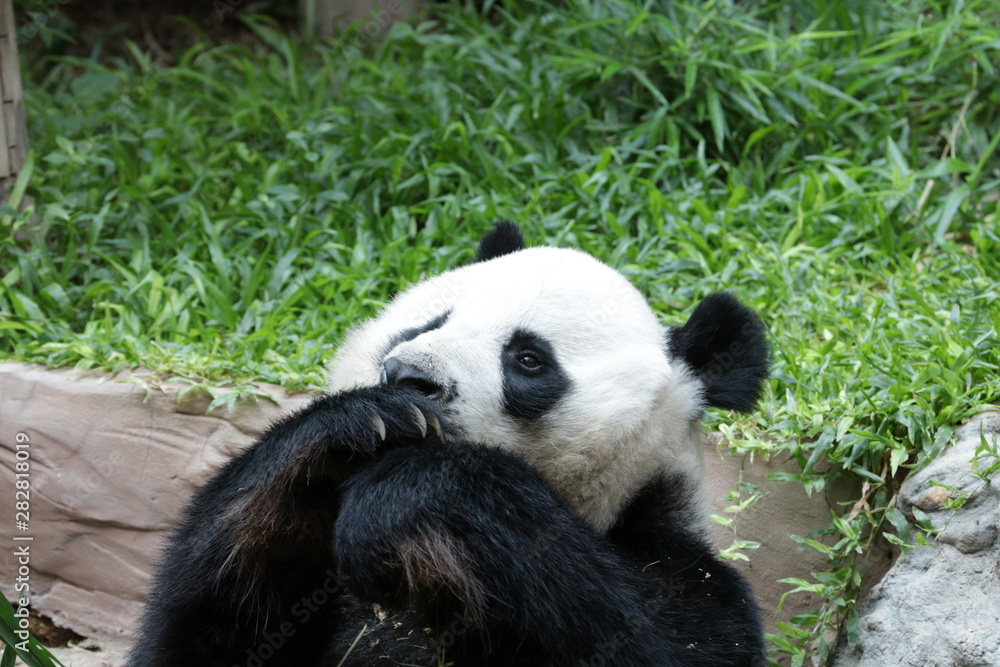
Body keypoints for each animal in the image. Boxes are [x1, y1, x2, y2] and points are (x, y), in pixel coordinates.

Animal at [130, 222, 769, 667]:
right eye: (430, 323)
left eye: (528, 359)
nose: (409, 375)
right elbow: (203, 640)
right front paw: (351, 431)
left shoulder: (677, 568)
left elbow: (655, 641)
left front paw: (405, 494)